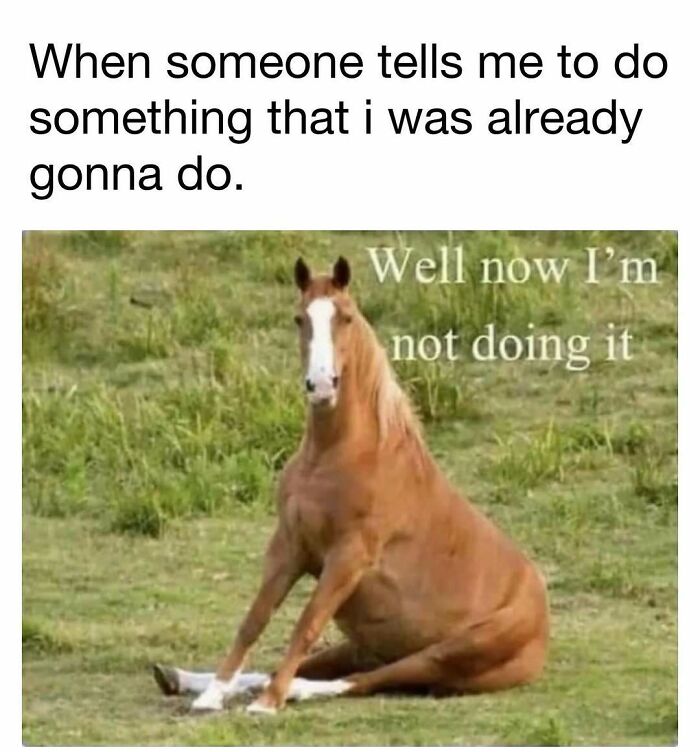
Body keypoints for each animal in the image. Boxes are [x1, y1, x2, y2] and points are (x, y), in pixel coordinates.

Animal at [153, 256, 549, 715]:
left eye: (346, 317)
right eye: (299, 318)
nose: (322, 385)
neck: (337, 455)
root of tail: (541, 624)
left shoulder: (347, 558)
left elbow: (305, 625)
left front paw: (268, 704)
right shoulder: (289, 545)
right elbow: (255, 619)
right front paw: (213, 694)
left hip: (446, 654)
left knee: (368, 680)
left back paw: (292, 690)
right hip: (365, 644)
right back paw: (180, 678)